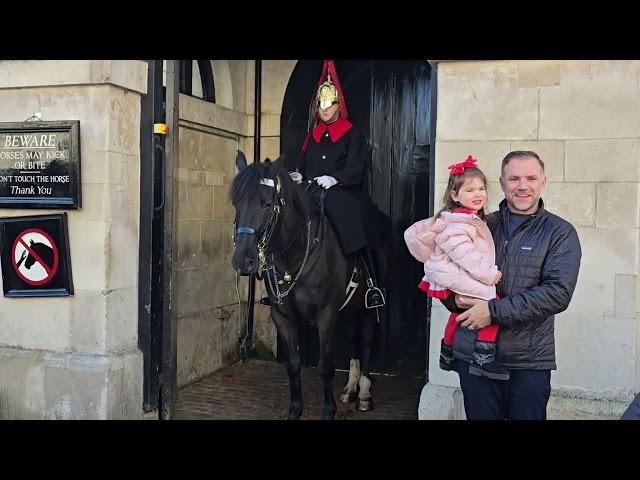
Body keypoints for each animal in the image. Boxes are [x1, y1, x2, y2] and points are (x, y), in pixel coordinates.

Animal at [231, 151, 384, 420]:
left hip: (366, 308)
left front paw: (328, 410)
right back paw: (351, 388)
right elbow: (293, 365)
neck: (294, 252)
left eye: (267, 204)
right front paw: (295, 410)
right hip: (350, 308)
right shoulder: (282, 316)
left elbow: (325, 367)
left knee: (365, 341)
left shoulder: (326, 315)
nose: (243, 261)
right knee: (353, 340)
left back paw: (364, 393)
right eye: (236, 203)